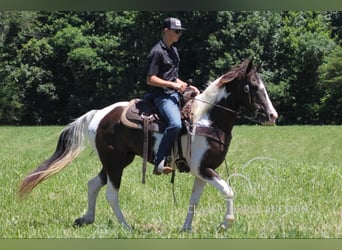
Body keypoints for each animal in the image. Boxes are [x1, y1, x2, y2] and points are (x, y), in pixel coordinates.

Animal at [18, 59, 278, 231]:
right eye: (254, 86)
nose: (272, 116)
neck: (207, 119)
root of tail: (98, 114)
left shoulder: (202, 171)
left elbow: (194, 200)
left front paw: (186, 228)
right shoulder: (203, 169)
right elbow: (228, 190)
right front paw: (225, 223)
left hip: (118, 160)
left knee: (93, 184)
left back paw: (87, 219)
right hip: (114, 162)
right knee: (111, 193)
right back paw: (126, 226)